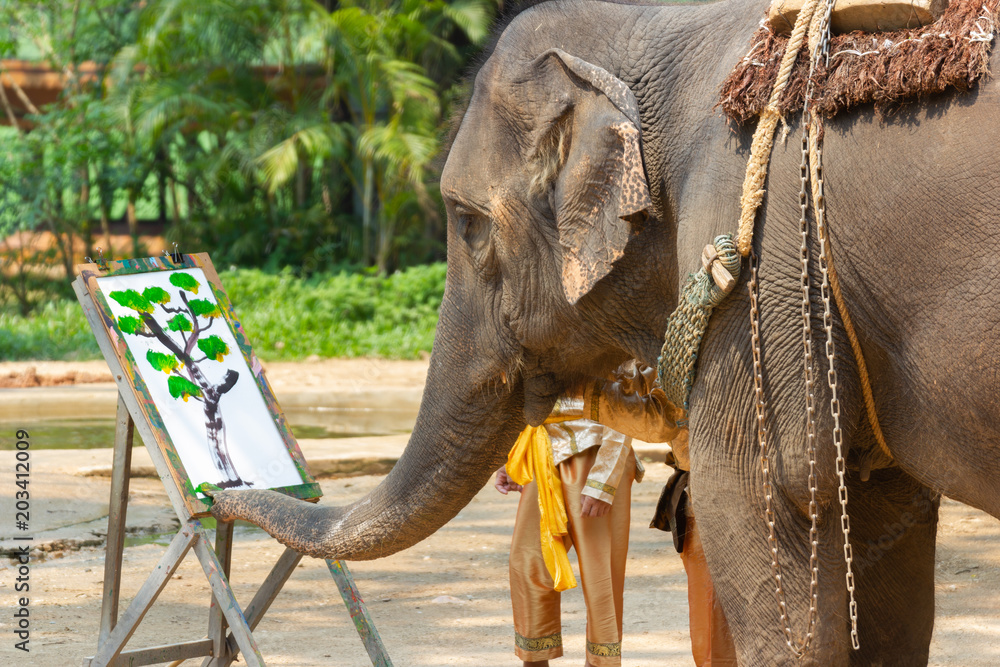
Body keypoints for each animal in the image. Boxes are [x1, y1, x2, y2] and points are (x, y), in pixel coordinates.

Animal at [211, 0, 1000, 664]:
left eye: (466, 223)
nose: (220, 493)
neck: (660, 24)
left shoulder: (760, 260)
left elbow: (768, 502)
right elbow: (883, 529)